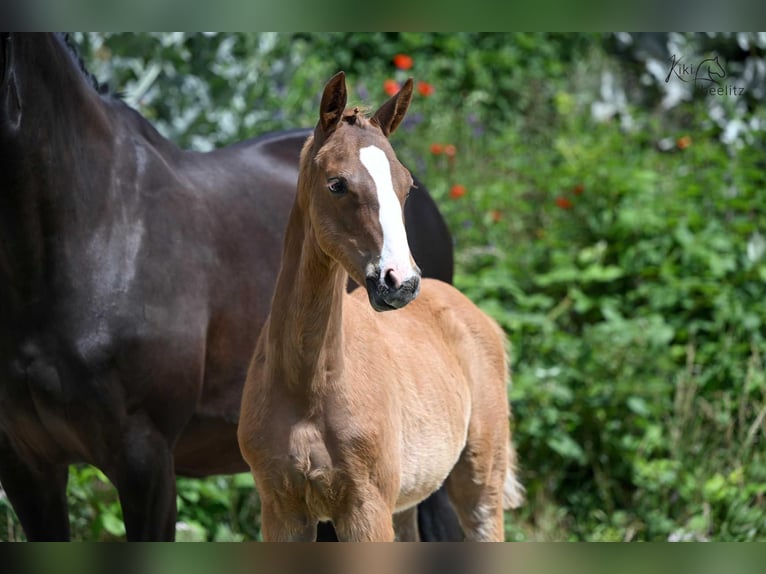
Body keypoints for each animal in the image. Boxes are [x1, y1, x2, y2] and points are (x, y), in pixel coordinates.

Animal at [238, 73, 528, 544]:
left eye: (407, 186)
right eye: (337, 183)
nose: (401, 282)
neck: (308, 384)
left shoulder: (365, 509)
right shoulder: (281, 511)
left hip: (479, 481)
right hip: (404, 503)